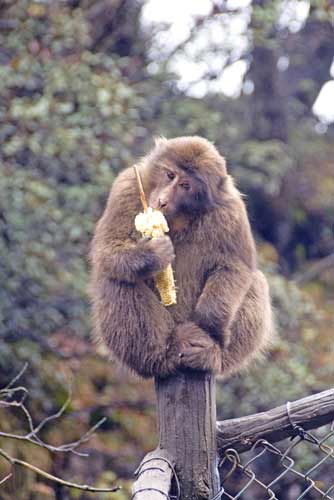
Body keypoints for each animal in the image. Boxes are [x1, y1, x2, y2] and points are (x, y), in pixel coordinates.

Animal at [89, 137, 274, 378]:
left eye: (186, 186)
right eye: (170, 175)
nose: (162, 201)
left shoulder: (232, 211)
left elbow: (236, 267)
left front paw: (209, 325)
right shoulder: (126, 186)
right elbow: (107, 251)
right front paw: (151, 255)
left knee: (256, 281)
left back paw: (211, 355)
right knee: (116, 278)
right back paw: (162, 356)